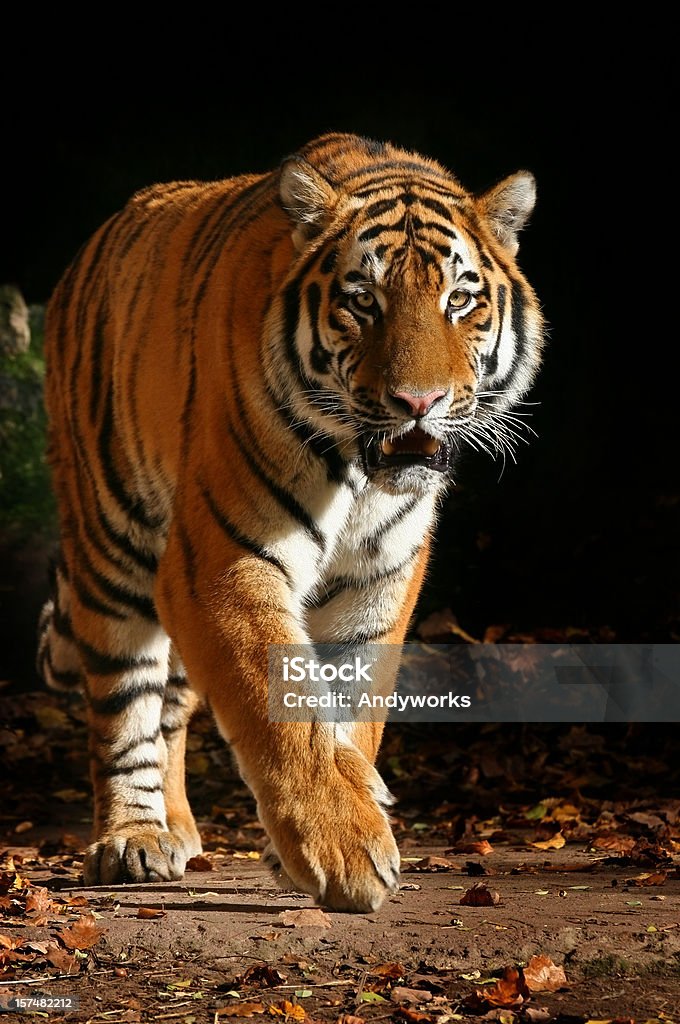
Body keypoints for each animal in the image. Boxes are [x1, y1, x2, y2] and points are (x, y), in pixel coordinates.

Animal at [38, 134, 548, 913]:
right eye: (363, 301)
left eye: (459, 300)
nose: (418, 401)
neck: (362, 477)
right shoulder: (225, 558)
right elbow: (279, 702)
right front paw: (346, 850)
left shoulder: (380, 575)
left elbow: (351, 709)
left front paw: (339, 812)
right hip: (113, 542)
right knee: (126, 705)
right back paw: (135, 838)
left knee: (172, 706)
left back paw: (179, 828)